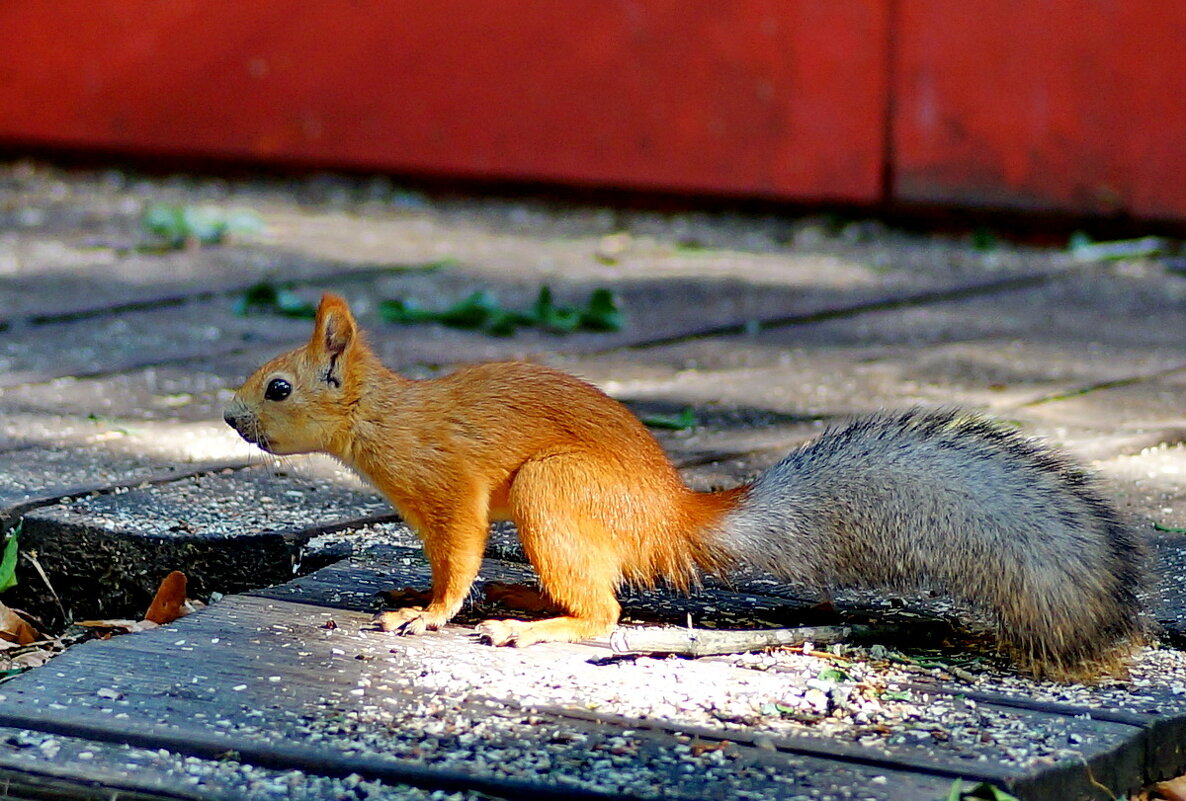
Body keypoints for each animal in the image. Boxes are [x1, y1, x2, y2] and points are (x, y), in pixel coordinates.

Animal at [226, 291, 1143, 678]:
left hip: (554, 489)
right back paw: (526, 600)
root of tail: (675, 515)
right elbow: (440, 557)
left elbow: (457, 556)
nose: (230, 414)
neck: (383, 419)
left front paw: (429, 611)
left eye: (279, 387)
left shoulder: (451, 485)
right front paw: (416, 591)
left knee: (606, 612)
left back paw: (535, 626)